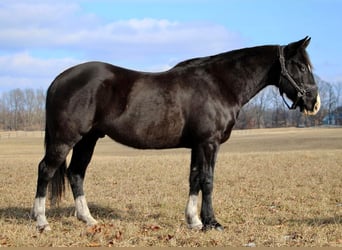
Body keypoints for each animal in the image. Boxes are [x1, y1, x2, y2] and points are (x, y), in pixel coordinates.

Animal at [30, 36, 320, 230]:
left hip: (88, 139)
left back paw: (88, 219)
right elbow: (208, 180)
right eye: (300, 66)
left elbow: (194, 179)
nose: (314, 103)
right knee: (46, 170)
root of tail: (59, 80)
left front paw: (193, 221)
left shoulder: (197, 145)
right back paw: (41, 221)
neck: (219, 84)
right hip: (65, 139)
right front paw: (211, 222)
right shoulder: (209, 143)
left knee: (76, 173)